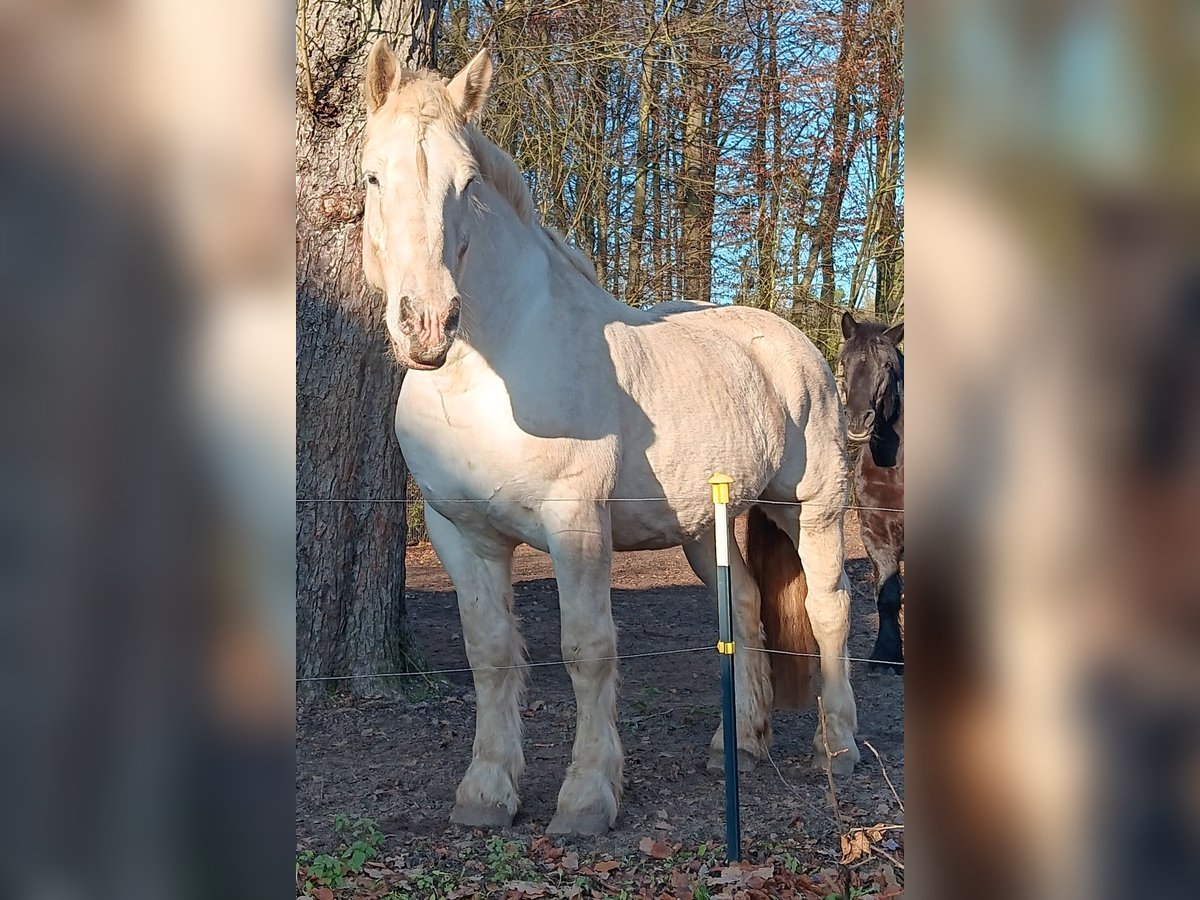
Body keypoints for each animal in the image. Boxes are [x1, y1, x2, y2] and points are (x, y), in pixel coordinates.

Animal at [359, 41, 860, 835]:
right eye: (374, 175)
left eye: (467, 184)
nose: (428, 324)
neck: (487, 379)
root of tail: (792, 344)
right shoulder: (460, 533)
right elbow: (489, 653)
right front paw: (486, 792)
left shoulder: (576, 524)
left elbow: (587, 650)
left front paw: (588, 796)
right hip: (705, 528)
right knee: (747, 608)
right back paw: (740, 745)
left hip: (811, 508)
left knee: (829, 608)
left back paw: (837, 749)